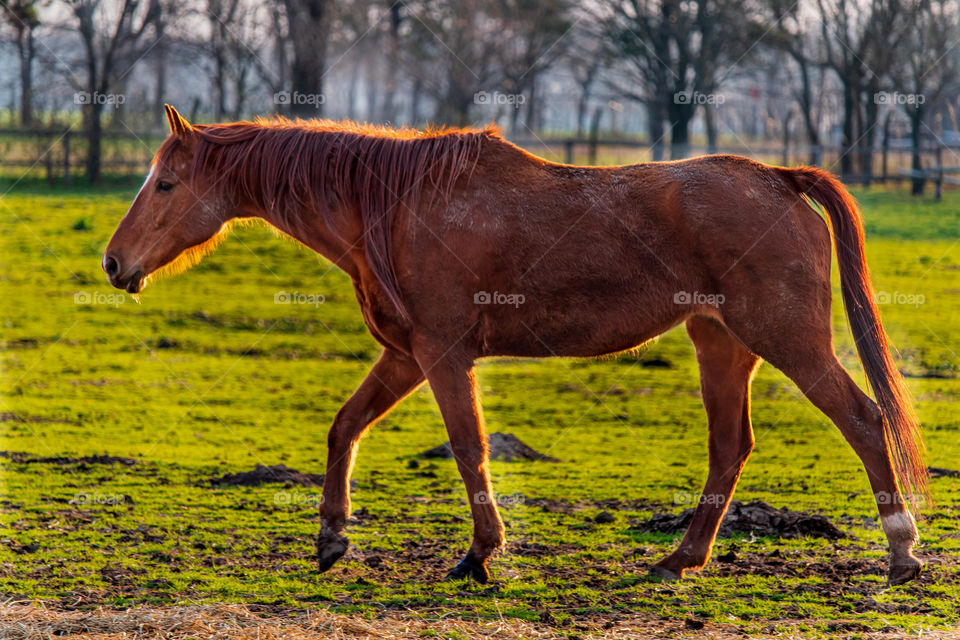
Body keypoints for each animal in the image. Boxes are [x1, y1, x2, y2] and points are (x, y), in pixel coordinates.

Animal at [101, 105, 928, 584]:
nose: (114, 263)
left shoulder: (443, 354)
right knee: (731, 447)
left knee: (862, 419)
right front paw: (332, 537)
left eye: (166, 184)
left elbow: (470, 448)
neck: (394, 204)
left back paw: (901, 550)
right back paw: (680, 558)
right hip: (721, 346)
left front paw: (480, 551)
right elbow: (343, 428)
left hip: (787, 341)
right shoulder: (404, 355)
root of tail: (779, 178)